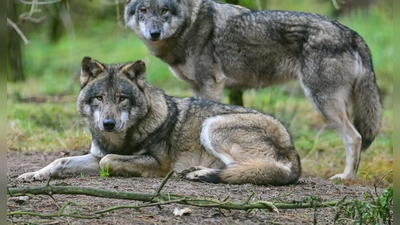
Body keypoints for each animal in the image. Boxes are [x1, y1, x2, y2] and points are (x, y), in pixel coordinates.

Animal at [17, 57, 302, 185]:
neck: (120, 139)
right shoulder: (96, 154)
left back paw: (201, 173)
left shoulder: (158, 163)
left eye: (122, 99)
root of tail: (293, 149)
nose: (108, 124)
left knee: (251, 169)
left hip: (212, 125)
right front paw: (33, 174)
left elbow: (108, 161)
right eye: (99, 98)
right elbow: (61, 161)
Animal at [124, 0, 382, 179]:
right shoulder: (198, 87)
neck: (190, 25)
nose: (154, 33)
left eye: (164, 10)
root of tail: (352, 33)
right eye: (143, 10)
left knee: (355, 137)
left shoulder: (212, 83)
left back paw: (346, 177)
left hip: (322, 101)